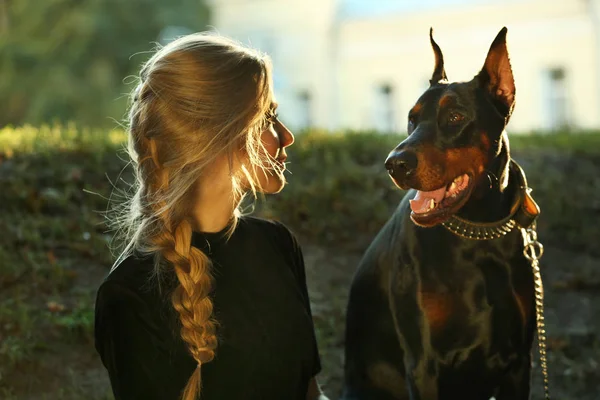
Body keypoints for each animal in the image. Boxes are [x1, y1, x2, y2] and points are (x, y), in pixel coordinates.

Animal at [342, 28, 544, 400]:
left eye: (455, 117)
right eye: (411, 118)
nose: (395, 164)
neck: (476, 234)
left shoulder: (519, 362)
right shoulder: (424, 365)